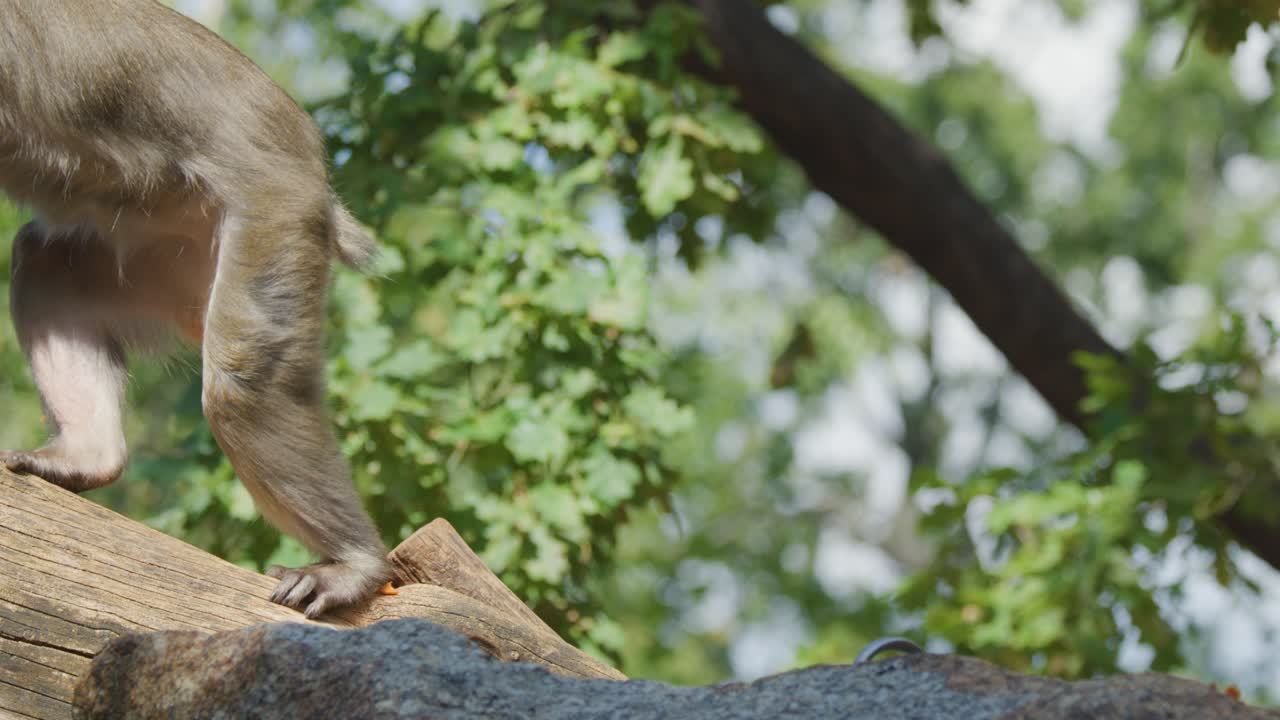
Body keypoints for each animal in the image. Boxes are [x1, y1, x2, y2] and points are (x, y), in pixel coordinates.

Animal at [0, 1, 395, 618]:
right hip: (170, 249)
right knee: (47, 262)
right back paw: (88, 454)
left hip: (276, 210)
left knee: (242, 383)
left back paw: (354, 562)